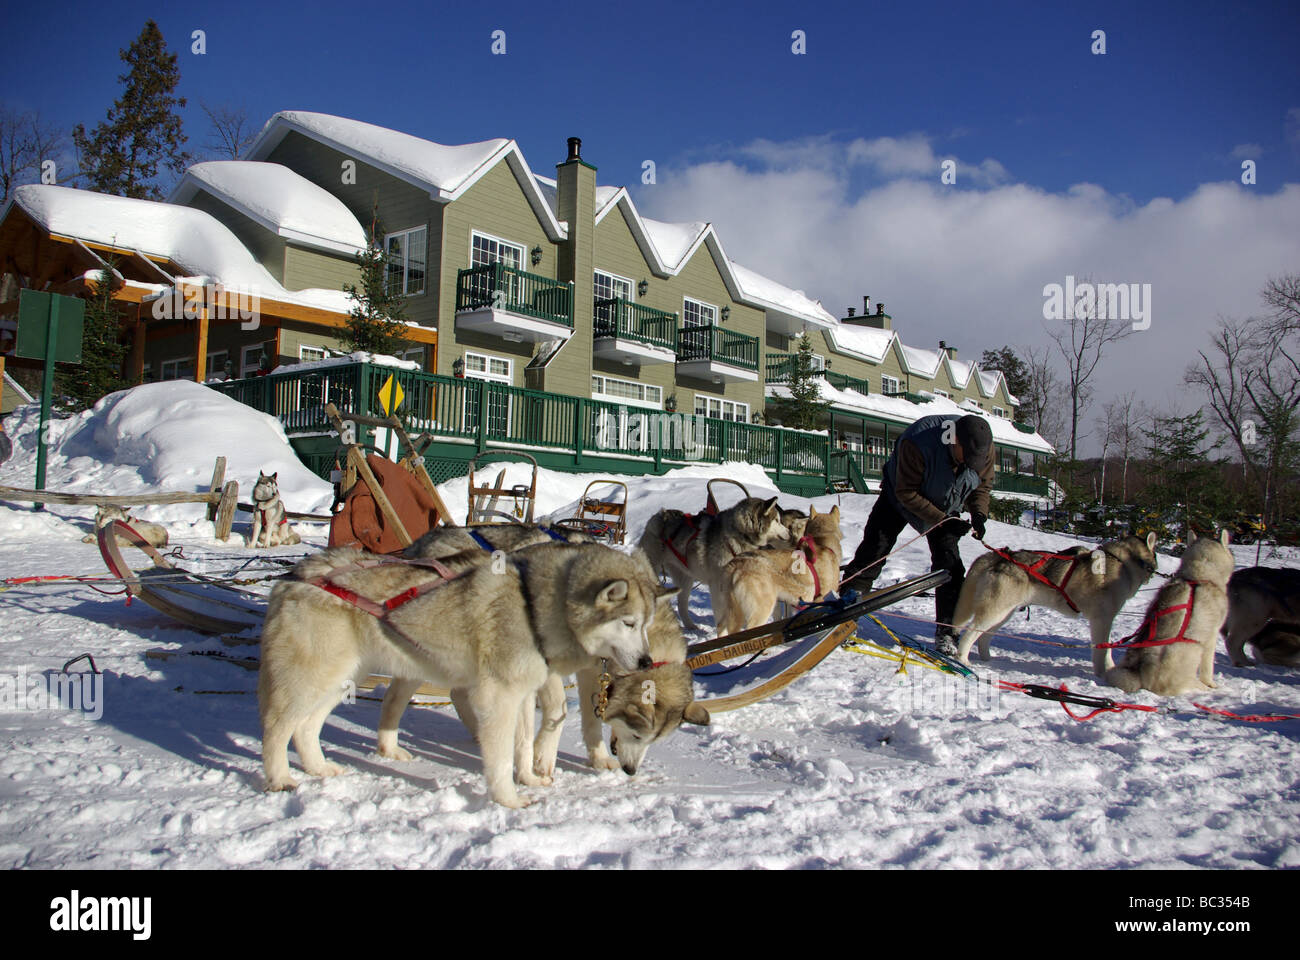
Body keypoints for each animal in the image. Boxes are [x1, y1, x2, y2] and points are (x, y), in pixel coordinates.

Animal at [256, 541, 660, 806]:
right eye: (628, 623)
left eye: (645, 625)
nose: (646, 662)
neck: (533, 601)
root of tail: (293, 576)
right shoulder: (498, 698)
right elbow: (501, 757)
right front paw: (508, 800)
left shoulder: (523, 695)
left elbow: (524, 745)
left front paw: (530, 779)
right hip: (311, 682)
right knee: (276, 728)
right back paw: (280, 779)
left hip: (342, 681)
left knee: (305, 729)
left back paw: (319, 769)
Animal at [642, 494, 790, 629]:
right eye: (777, 520)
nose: (789, 532)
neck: (738, 534)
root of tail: (660, 514)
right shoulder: (717, 586)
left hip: (686, 579)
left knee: (682, 604)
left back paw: (691, 626)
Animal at [712, 502, 842, 634]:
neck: (822, 541)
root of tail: (735, 566)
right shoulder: (820, 600)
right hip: (762, 609)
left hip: (729, 610)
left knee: (722, 626)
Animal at [946, 530, 1159, 671]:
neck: (1125, 561)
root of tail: (996, 556)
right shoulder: (1102, 619)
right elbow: (1104, 650)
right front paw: (1105, 671)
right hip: (994, 612)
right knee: (969, 633)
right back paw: (963, 660)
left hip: (1003, 614)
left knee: (983, 637)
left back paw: (988, 660)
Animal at [1102, 528, 1232, 692]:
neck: (1197, 576)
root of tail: (1139, 672)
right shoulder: (1211, 635)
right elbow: (1207, 667)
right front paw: (1211, 684)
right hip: (1191, 650)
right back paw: (1199, 686)